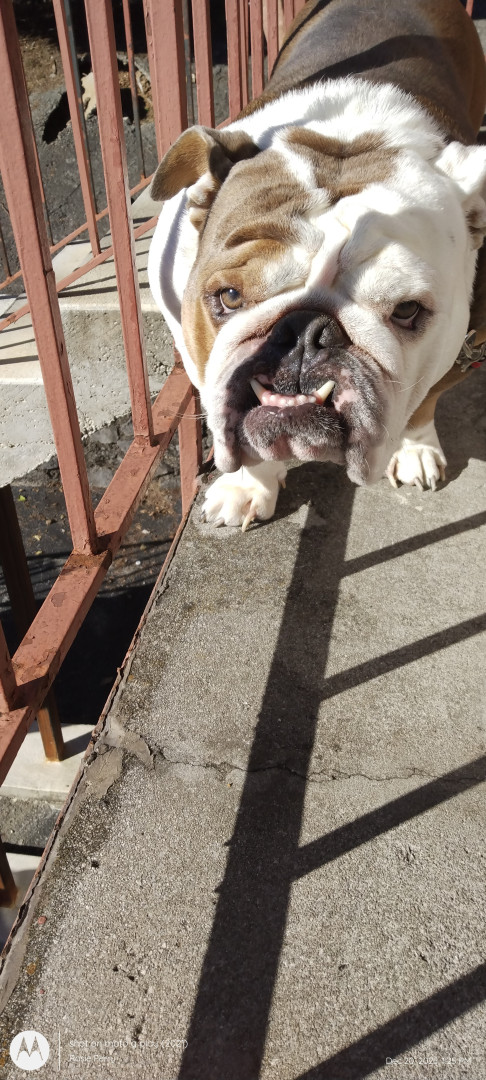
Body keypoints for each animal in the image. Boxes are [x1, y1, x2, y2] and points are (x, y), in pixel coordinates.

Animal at [148, 0, 486, 530]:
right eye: (229, 297)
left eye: (407, 311)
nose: (306, 332)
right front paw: (248, 485)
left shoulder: (466, 345)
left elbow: (425, 399)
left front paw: (414, 447)